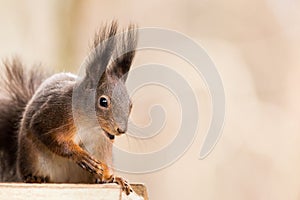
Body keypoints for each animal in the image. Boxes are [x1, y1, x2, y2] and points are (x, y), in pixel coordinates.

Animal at [0, 21, 137, 195]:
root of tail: (65, 179)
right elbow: (48, 135)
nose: (121, 130)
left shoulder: (101, 143)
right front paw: (81, 156)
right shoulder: (55, 115)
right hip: (33, 160)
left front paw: (113, 178)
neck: (90, 124)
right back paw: (34, 178)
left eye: (130, 104)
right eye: (103, 102)